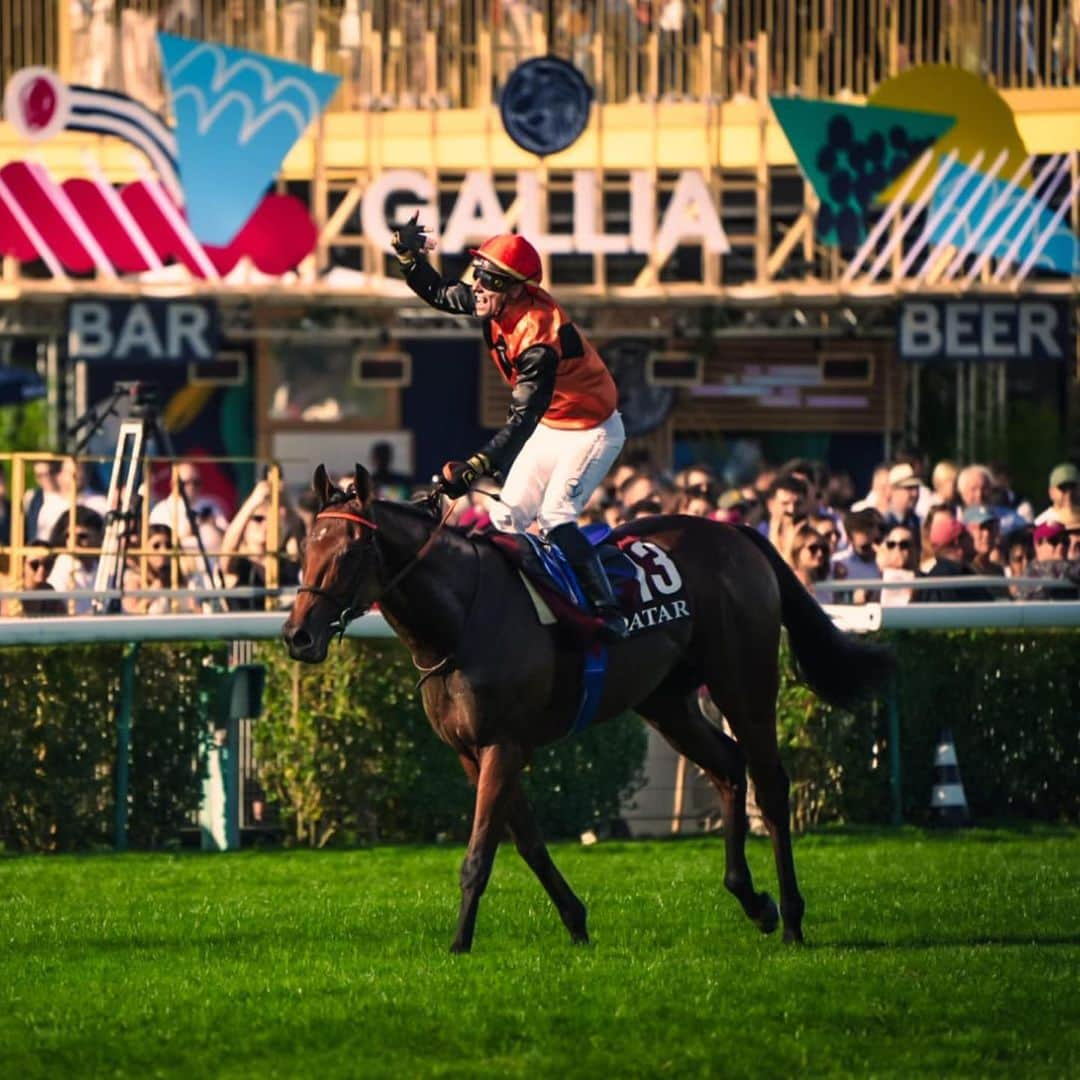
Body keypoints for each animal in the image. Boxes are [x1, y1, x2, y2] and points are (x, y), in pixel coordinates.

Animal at [280, 464, 894, 954]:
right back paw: (753, 901)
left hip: (742, 682)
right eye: (307, 548)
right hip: (666, 700)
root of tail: (735, 532)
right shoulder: (471, 751)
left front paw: (458, 943)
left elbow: (481, 852)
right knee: (727, 766)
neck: (460, 616)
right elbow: (525, 841)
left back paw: (790, 917)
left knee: (770, 783)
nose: (297, 636)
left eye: (350, 551)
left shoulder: (503, 743)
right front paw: (575, 921)